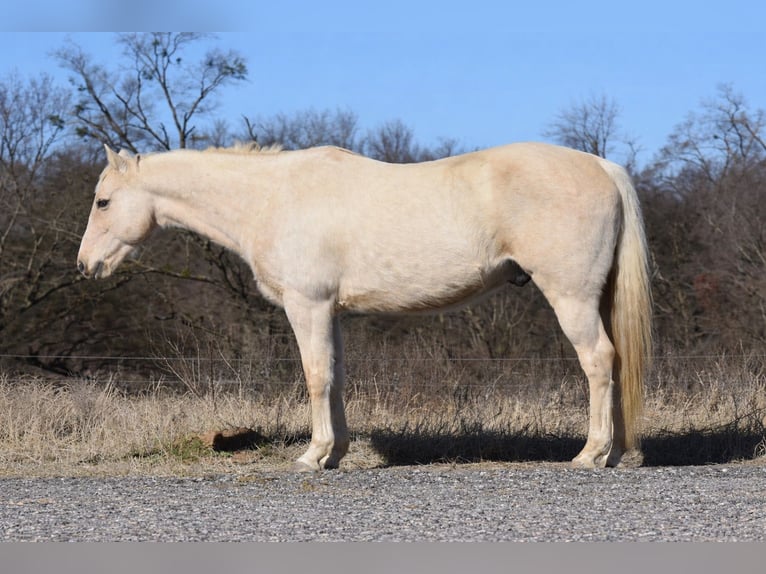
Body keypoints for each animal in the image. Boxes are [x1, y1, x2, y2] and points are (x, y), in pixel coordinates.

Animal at [77, 142, 652, 470]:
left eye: (103, 202)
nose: (85, 266)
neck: (272, 197)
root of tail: (603, 166)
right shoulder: (330, 313)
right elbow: (335, 377)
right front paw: (336, 453)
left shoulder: (306, 306)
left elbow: (315, 377)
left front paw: (312, 456)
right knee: (617, 362)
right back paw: (618, 454)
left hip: (571, 297)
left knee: (598, 362)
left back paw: (590, 454)